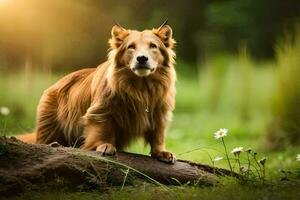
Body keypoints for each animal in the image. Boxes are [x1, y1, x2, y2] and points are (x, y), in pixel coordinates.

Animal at [17, 21, 177, 163]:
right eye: (131, 47)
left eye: (153, 46)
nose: (142, 58)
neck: (141, 87)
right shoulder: (102, 110)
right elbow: (102, 129)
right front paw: (104, 145)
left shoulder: (160, 113)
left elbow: (158, 134)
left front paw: (160, 151)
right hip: (49, 126)